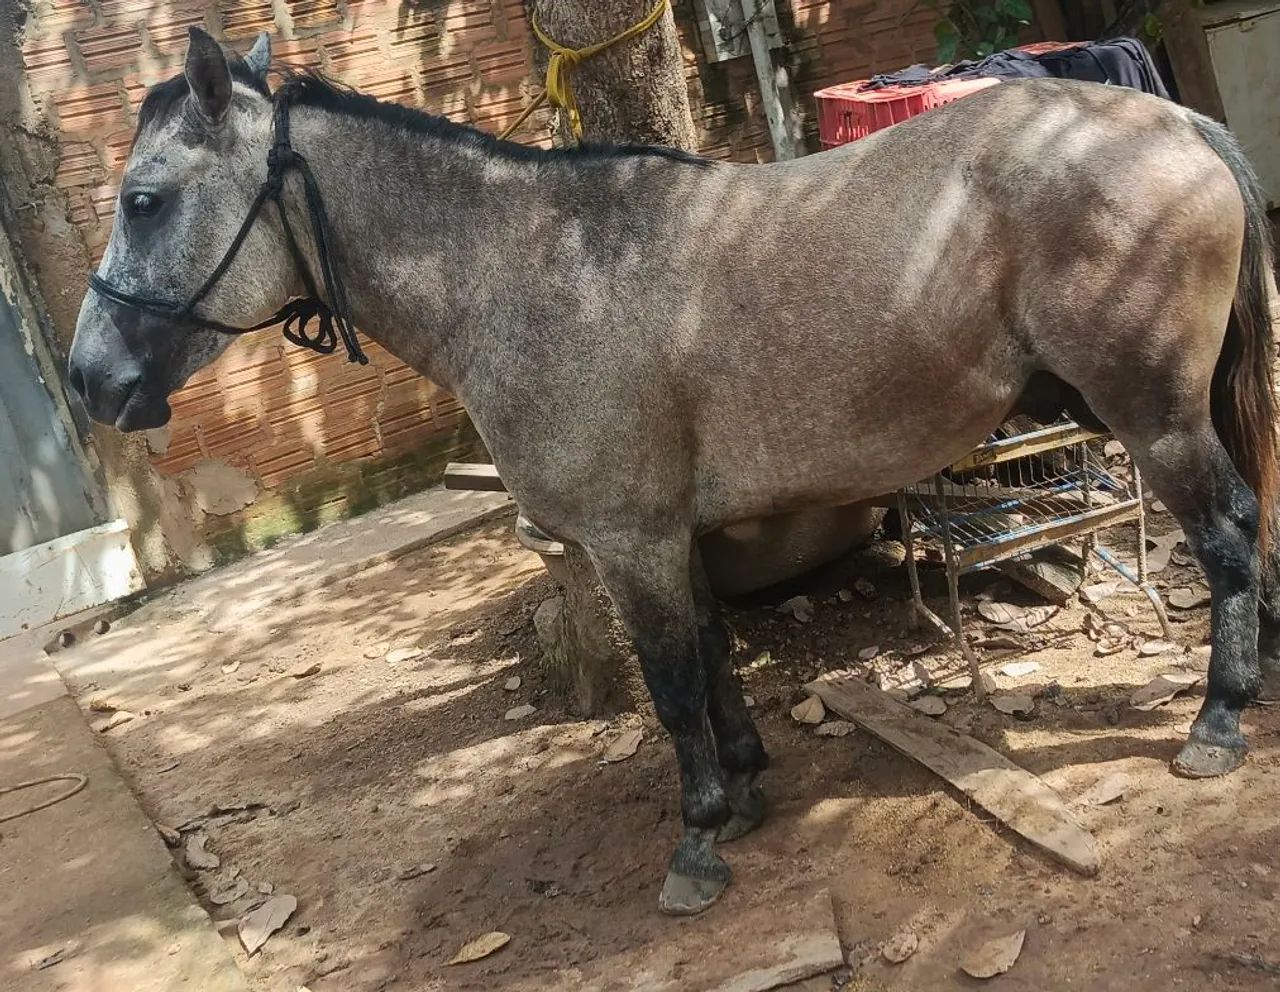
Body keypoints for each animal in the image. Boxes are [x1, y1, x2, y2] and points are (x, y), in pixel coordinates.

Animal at [69, 28, 1278, 916]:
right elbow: (709, 654)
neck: (530, 271)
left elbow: (670, 681)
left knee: (1226, 532)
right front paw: (740, 788)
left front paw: (697, 839)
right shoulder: (668, 534)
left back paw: (1217, 722)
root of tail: (1176, 121)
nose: (88, 377)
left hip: (1155, 417)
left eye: (144, 200)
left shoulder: (627, 540)